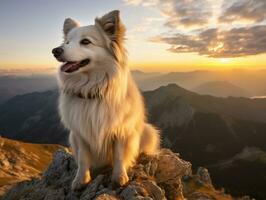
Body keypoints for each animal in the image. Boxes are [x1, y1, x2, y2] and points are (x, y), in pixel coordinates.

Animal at [53, 10, 159, 190]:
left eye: (86, 41)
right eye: (67, 42)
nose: (55, 50)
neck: (91, 89)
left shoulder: (120, 130)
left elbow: (119, 156)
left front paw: (119, 177)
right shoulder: (80, 133)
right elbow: (83, 159)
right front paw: (81, 180)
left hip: (148, 130)